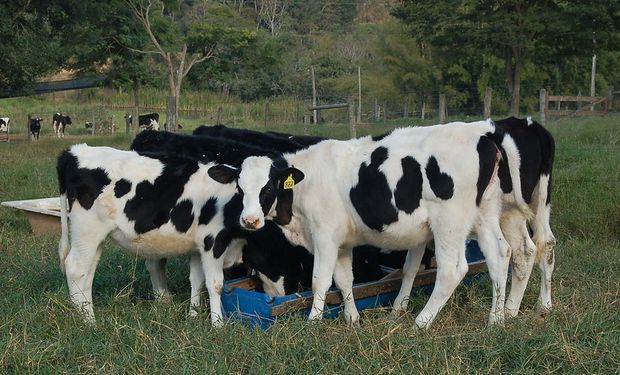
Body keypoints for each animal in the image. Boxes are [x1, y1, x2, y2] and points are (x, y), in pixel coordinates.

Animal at [211, 121, 532, 328]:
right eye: (239, 187)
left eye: (268, 187)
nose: (249, 220)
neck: (308, 180)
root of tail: (485, 136)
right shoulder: (342, 241)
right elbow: (344, 279)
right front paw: (352, 318)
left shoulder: (324, 235)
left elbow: (319, 280)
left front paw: (313, 321)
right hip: (486, 213)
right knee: (501, 255)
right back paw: (497, 319)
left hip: (449, 223)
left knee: (453, 270)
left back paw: (422, 322)